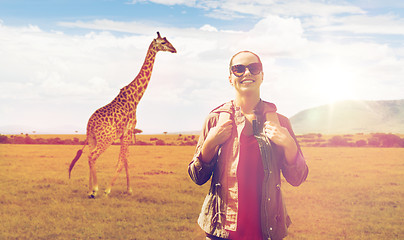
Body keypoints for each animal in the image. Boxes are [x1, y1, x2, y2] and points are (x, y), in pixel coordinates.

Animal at [68, 31, 176, 199]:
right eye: (163, 42)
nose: (174, 49)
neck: (136, 97)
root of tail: (90, 124)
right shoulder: (128, 130)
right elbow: (121, 161)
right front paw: (108, 190)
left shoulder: (124, 133)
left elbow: (126, 161)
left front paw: (129, 189)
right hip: (106, 139)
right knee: (92, 156)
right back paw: (96, 189)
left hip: (92, 138)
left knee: (89, 156)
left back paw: (89, 190)